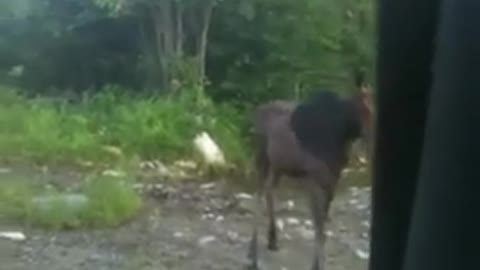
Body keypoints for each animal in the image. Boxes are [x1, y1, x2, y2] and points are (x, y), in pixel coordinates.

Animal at [248, 79, 372, 268]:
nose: (368, 135)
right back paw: (253, 252)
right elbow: (318, 224)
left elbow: (323, 226)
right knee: (258, 195)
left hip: (279, 166)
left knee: (269, 190)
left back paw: (272, 239)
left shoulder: (332, 180)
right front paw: (316, 265)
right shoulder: (312, 179)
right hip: (262, 157)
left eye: (371, 108)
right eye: (360, 108)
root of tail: (258, 109)